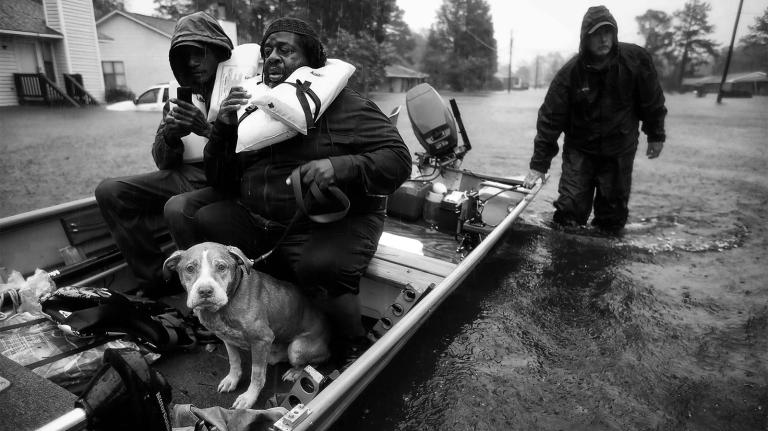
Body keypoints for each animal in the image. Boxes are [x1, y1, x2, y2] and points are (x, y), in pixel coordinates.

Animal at [163, 242, 331, 409]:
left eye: (221, 267)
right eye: (190, 268)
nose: (205, 291)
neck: (228, 302)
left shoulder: (262, 339)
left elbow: (256, 375)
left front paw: (249, 398)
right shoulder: (227, 338)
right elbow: (234, 361)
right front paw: (232, 380)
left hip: (296, 349)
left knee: (314, 363)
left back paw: (295, 372)